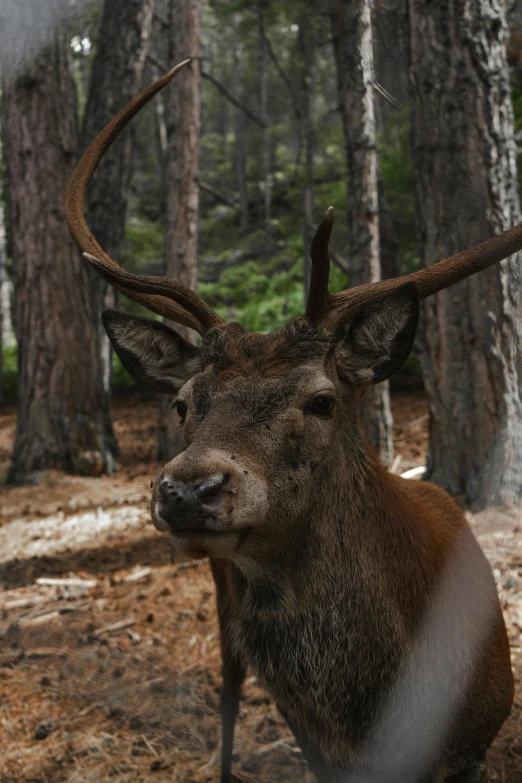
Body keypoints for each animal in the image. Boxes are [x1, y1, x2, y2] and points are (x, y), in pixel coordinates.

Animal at [64, 59, 512, 783]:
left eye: (322, 400)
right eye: (183, 402)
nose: (188, 489)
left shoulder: (474, 743)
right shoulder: (315, 746)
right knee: (226, 681)